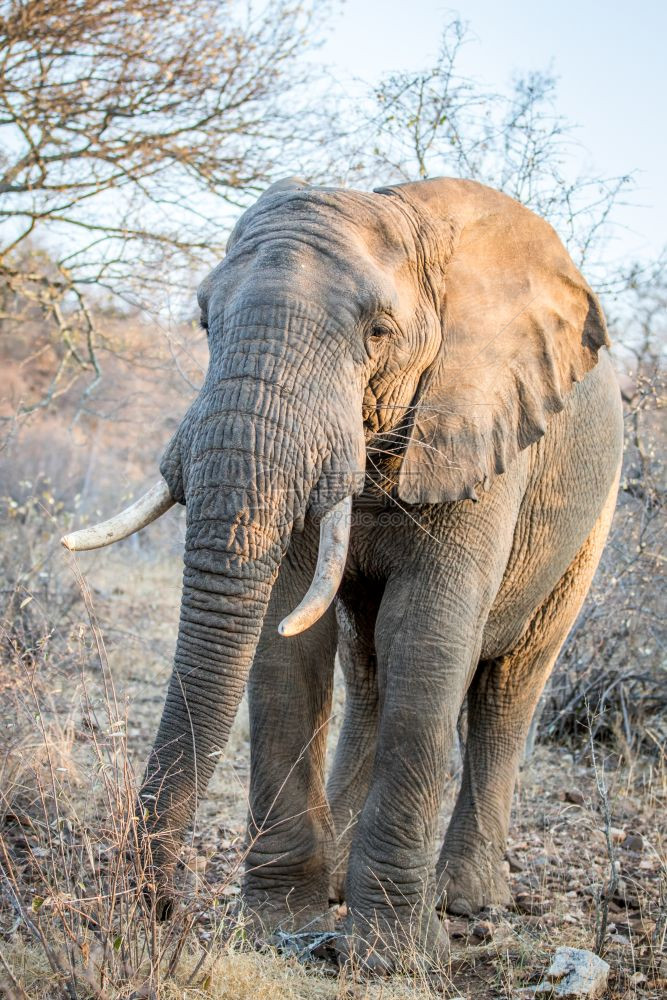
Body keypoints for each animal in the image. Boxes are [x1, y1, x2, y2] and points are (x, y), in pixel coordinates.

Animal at [64, 176, 628, 972]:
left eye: (379, 333)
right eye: (205, 322)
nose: (158, 905)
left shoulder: (479, 428)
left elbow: (426, 636)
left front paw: (392, 957)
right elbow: (287, 639)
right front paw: (277, 928)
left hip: (592, 517)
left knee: (507, 685)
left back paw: (463, 901)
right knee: (368, 670)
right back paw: (340, 878)